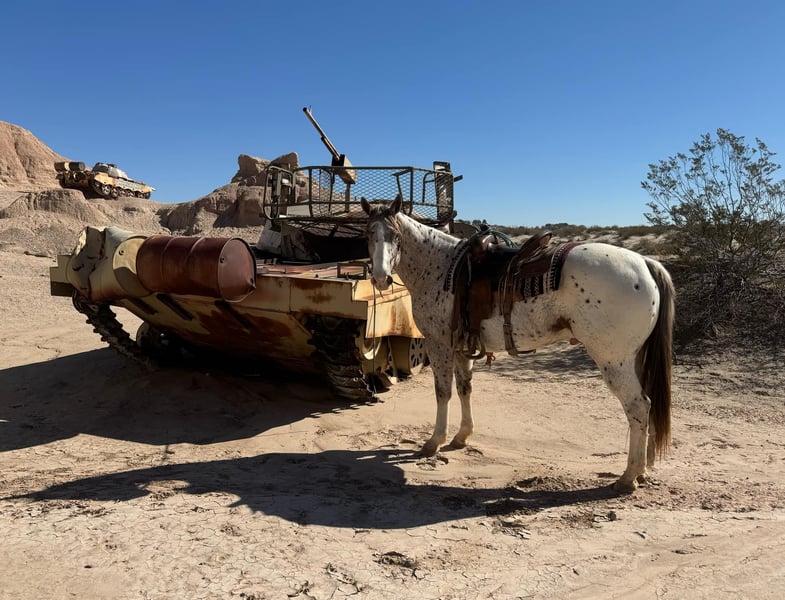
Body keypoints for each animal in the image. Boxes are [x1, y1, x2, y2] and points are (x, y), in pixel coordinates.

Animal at [361, 195, 675, 493]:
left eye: (395, 236)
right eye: (369, 233)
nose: (380, 278)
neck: (440, 267)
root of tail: (645, 263)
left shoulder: (439, 344)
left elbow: (443, 392)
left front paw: (434, 442)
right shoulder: (462, 348)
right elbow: (464, 389)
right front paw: (462, 436)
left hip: (613, 359)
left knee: (638, 407)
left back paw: (628, 477)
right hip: (634, 358)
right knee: (646, 406)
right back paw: (643, 470)